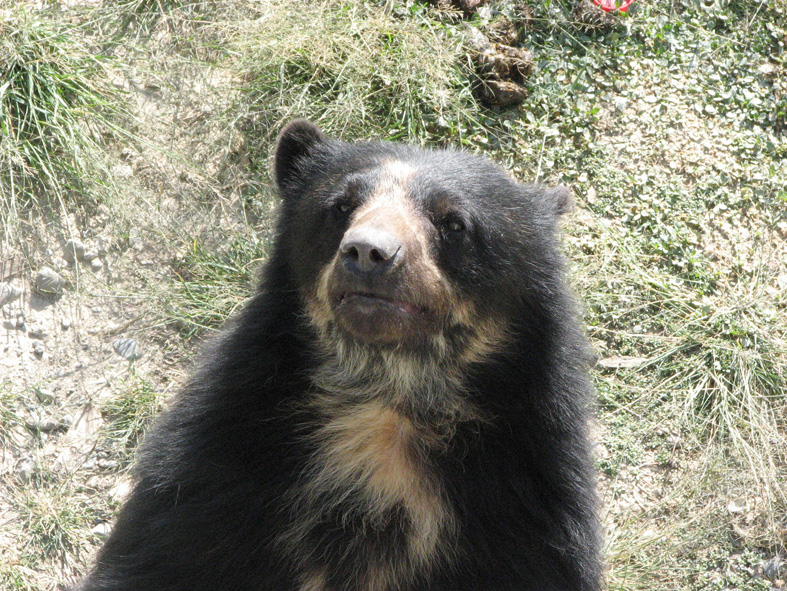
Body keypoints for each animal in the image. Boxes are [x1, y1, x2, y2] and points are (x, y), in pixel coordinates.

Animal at [80, 120, 604, 591]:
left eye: (454, 222)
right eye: (340, 206)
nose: (369, 251)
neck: (383, 405)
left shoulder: (525, 515)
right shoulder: (208, 478)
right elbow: (159, 555)